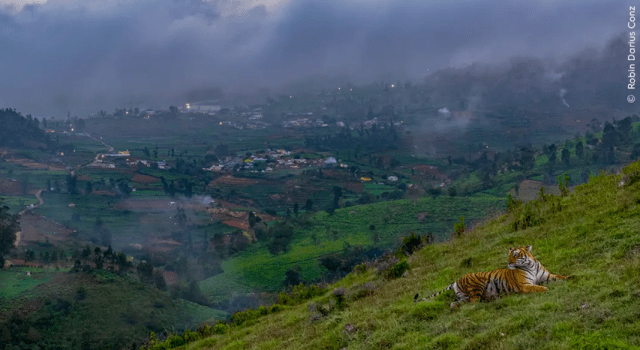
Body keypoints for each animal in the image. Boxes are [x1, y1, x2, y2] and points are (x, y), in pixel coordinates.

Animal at [416, 245, 568, 308]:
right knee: (474, 302)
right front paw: (545, 289)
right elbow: (537, 287)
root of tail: (456, 281)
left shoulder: (547, 276)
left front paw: (570, 277)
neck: (530, 265)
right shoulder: (525, 286)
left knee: (455, 304)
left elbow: (560, 277)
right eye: (509, 255)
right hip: (478, 286)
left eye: (515, 255)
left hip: (462, 297)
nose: (508, 263)